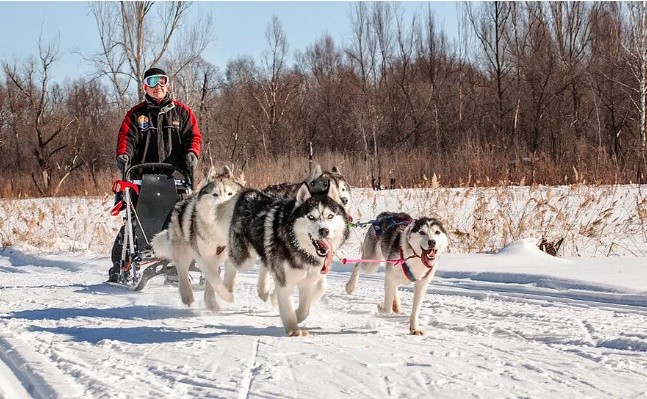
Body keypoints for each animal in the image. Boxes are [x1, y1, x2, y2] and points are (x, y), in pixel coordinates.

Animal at [152, 167, 246, 310]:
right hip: (184, 252)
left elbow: (229, 277)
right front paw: (221, 298)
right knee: (182, 273)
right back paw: (187, 297)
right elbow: (214, 280)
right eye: (215, 194)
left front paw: (227, 290)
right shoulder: (205, 257)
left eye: (230, 193)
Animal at [227, 183, 350, 336]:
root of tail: (250, 192)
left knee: (265, 263)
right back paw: (224, 288)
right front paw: (293, 330)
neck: (301, 250)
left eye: (330, 216)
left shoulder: (308, 282)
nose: (324, 231)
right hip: (245, 259)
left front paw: (296, 317)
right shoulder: (284, 283)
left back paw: (263, 289)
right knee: (229, 261)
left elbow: (304, 310)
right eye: (311, 217)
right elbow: (288, 308)